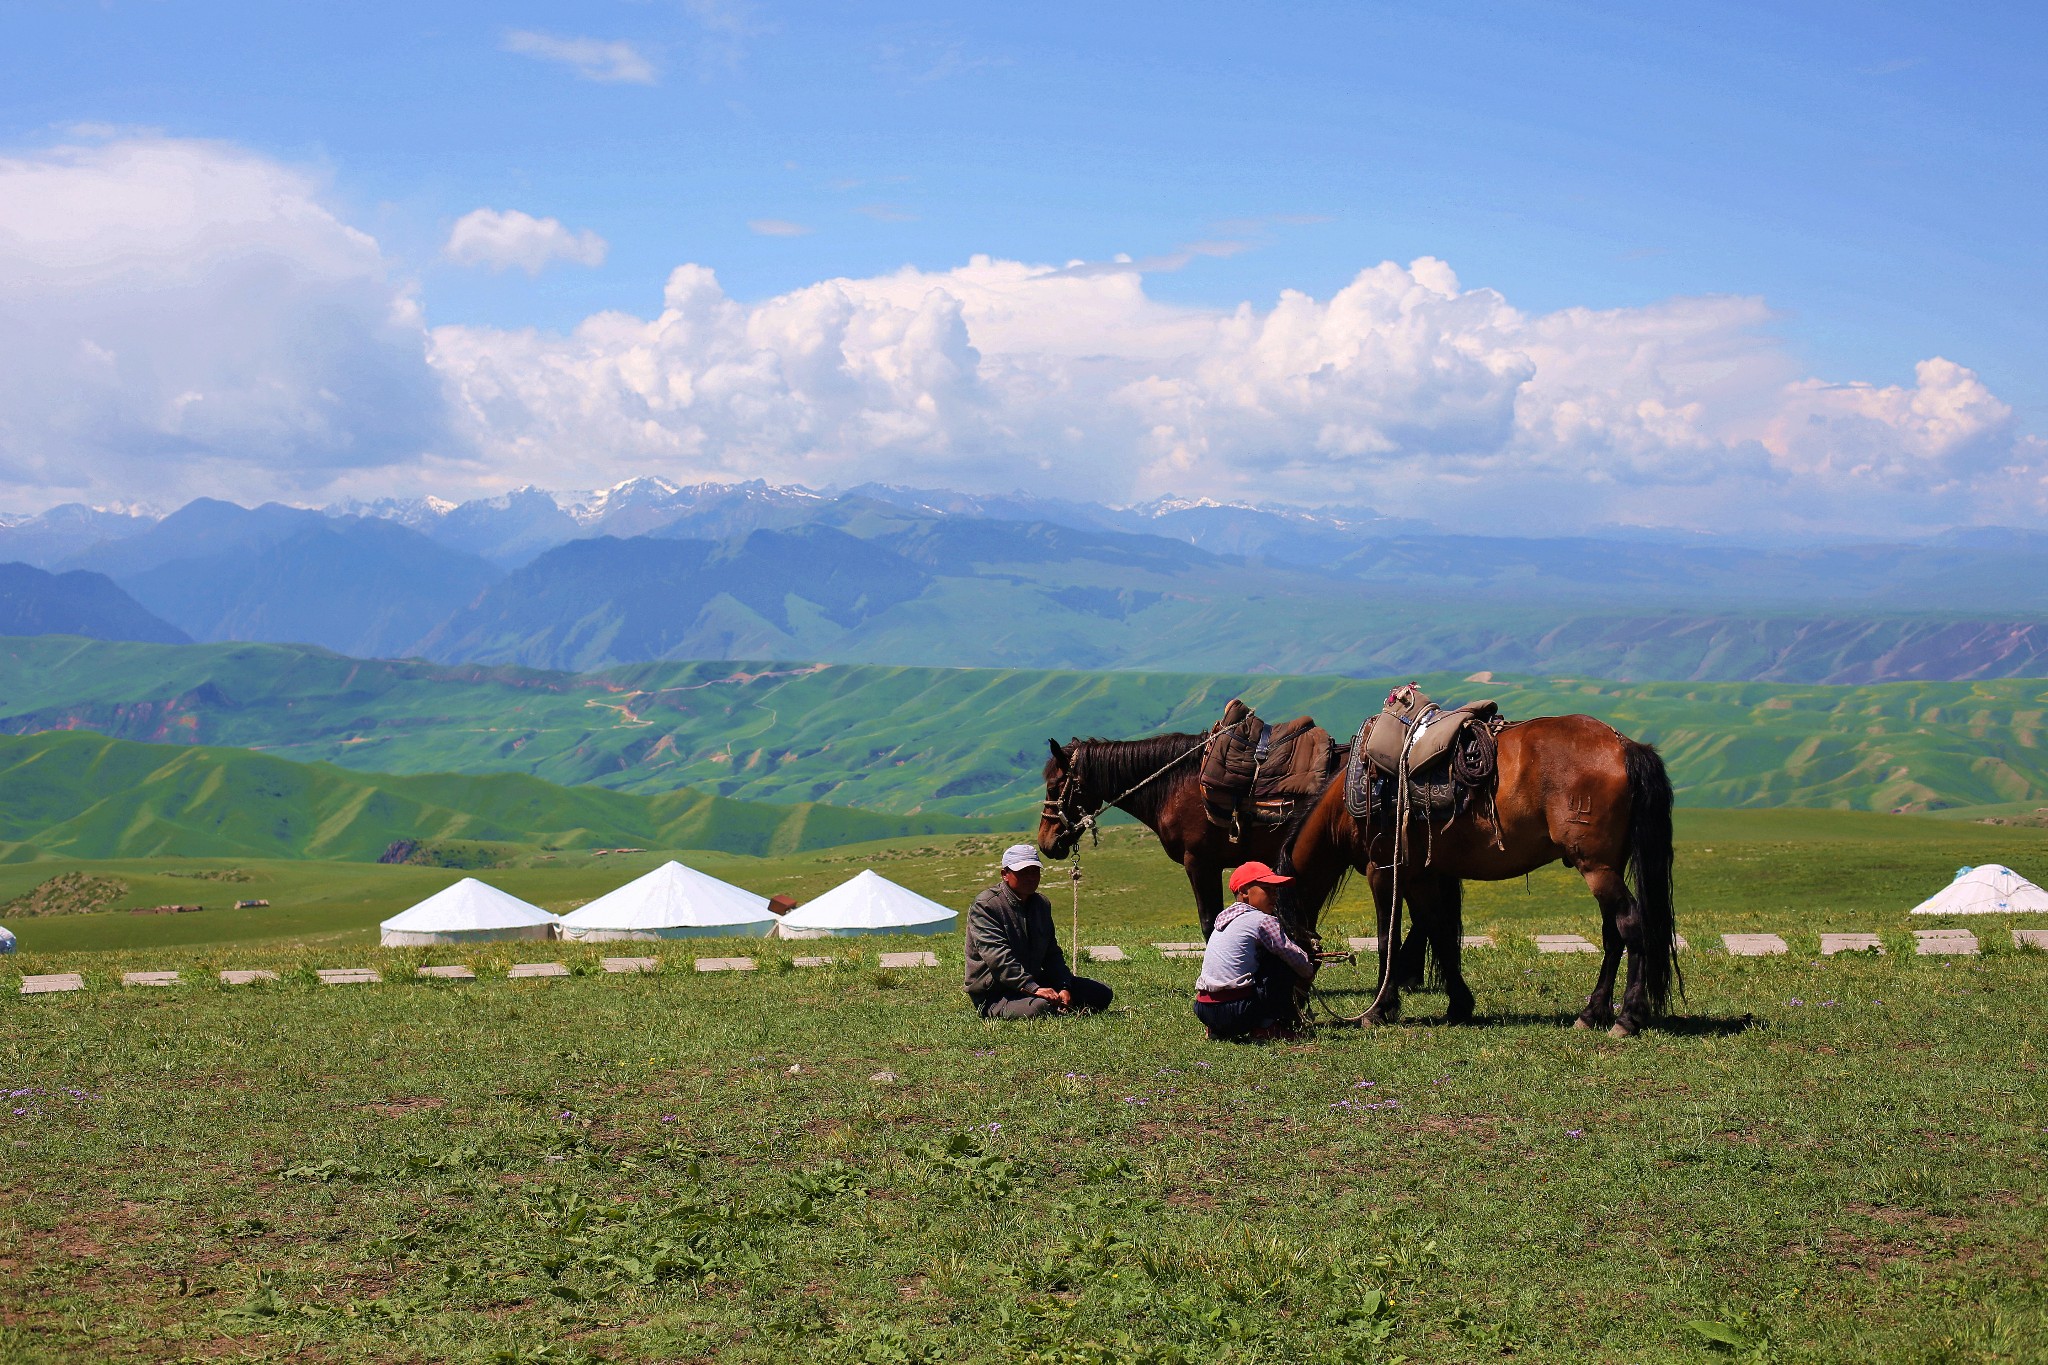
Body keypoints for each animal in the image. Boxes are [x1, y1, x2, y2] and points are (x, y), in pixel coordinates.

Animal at [1277, 716, 1679, 1035]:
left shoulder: (1384, 871)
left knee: (1630, 923)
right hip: (1606, 866)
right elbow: (1437, 930)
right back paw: (1592, 1012)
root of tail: (1622, 744)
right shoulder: (1421, 876)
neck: (1345, 805)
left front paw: (1378, 1010)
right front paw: (1458, 1004)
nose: (1294, 1011)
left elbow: (1387, 938)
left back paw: (1627, 1018)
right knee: (1613, 934)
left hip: (1596, 867)